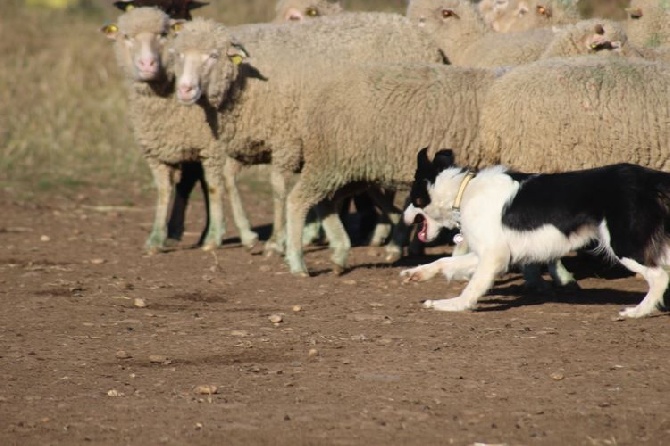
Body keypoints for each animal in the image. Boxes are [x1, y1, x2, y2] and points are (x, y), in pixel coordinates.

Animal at [402, 149, 670, 318]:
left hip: (625, 243)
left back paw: (638, 312)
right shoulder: (485, 254)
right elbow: (444, 261)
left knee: (659, 277)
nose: (404, 216)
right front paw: (416, 273)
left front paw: (452, 305)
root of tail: (648, 178)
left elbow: (473, 286)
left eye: (412, 196)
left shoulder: (494, 256)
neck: (463, 190)